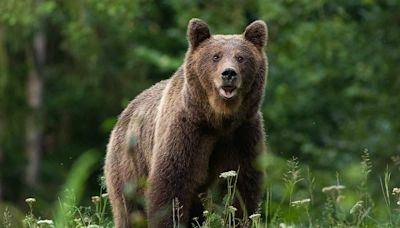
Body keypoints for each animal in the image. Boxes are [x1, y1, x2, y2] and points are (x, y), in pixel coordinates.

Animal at [104, 18, 268, 228]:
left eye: (240, 57)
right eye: (215, 56)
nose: (229, 74)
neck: (218, 119)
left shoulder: (242, 134)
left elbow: (242, 188)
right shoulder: (186, 131)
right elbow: (171, 186)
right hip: (129, 165)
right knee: (129, 209)